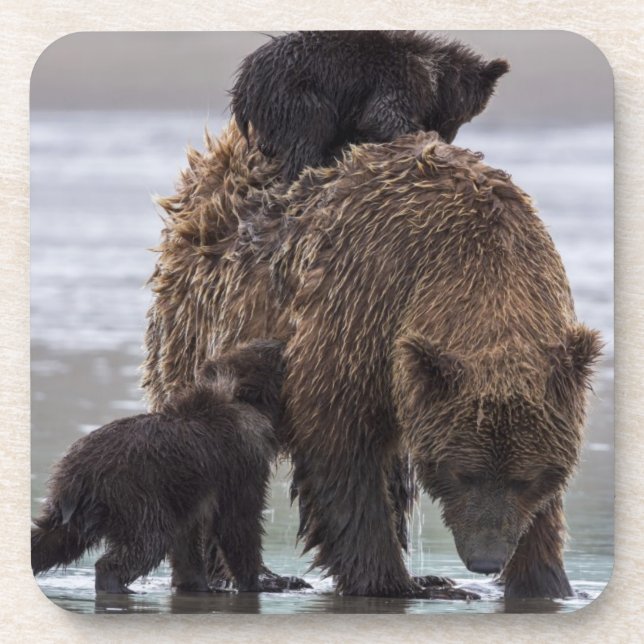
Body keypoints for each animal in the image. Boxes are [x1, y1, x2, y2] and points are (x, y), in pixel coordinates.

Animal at [32, 340, 291, 594]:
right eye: (271, 357)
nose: (277, 342)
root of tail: (77, 476)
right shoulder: (239, 463)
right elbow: (238, 522)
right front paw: (258, 582)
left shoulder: (185, 494)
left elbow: (186, 539)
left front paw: (194, 582)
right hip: (132, 494)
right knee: (148, 541)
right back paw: (117, 582)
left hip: (71, 505)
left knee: (53, 538)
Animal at [142, 122, 601, 599]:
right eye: (462, 473)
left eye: (526, 477)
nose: (485, 560)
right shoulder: (360, 305)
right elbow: (341, 446)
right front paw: (391, 581)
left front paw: (544, 580)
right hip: (198, 330)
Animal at [231, 30, 509, 180]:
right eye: (461, 116)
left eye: (468, 117)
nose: (448, 136)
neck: (436, 76)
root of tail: (244, 79)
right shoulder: (398, 79)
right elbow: (382, 116)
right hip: (295, 90)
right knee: (312, 129)